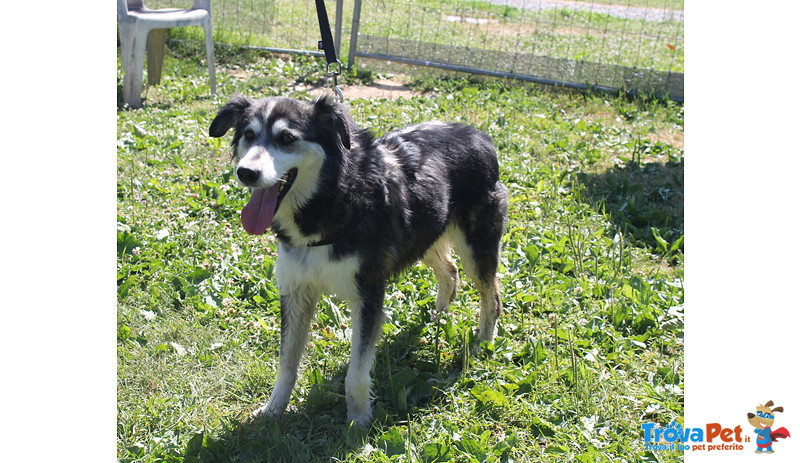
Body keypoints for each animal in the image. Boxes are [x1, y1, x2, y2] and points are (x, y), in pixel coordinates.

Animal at [209, 95, 510, 428]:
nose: (246, 172)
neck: (329, 199)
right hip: (426, 233)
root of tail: (480, 136)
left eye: (287, 138)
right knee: (450, 271)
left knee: (491, 295)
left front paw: (358, 422)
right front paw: (273, 410)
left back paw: (483, 343)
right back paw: (439, 319)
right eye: (249, 135)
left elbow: (356, 372)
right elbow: (286, 362)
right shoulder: (296, 290)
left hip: (476, 245)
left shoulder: (369, 293)